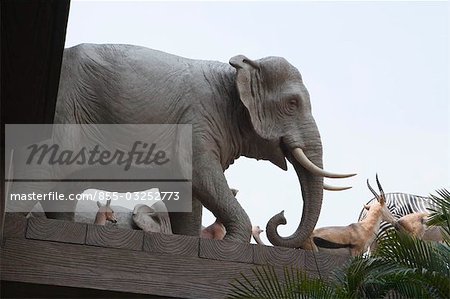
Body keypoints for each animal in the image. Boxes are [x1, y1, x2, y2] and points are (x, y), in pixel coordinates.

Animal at [11, 44, 356, 246]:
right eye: (293, 103)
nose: (281, 219)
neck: (236, 70)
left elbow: (188, 193)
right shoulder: (196, 120)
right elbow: (202, 177)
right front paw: (227, 245)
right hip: (62, 115)